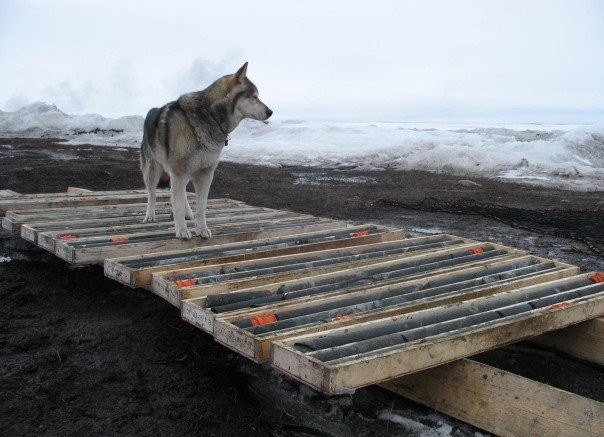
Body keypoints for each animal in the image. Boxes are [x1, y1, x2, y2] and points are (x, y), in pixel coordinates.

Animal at [140, 61, 272, 237]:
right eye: (255, 97)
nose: (270, 112)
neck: (210, 116)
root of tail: (152, 110)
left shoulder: (205, 174)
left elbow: (201, 207)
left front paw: (201, 229)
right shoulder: (179, 172)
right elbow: (177, 205)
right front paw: (182, 231)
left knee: (180, 194)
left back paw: (188, 213)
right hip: (153, 171)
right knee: (152, 194)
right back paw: (150, 216)